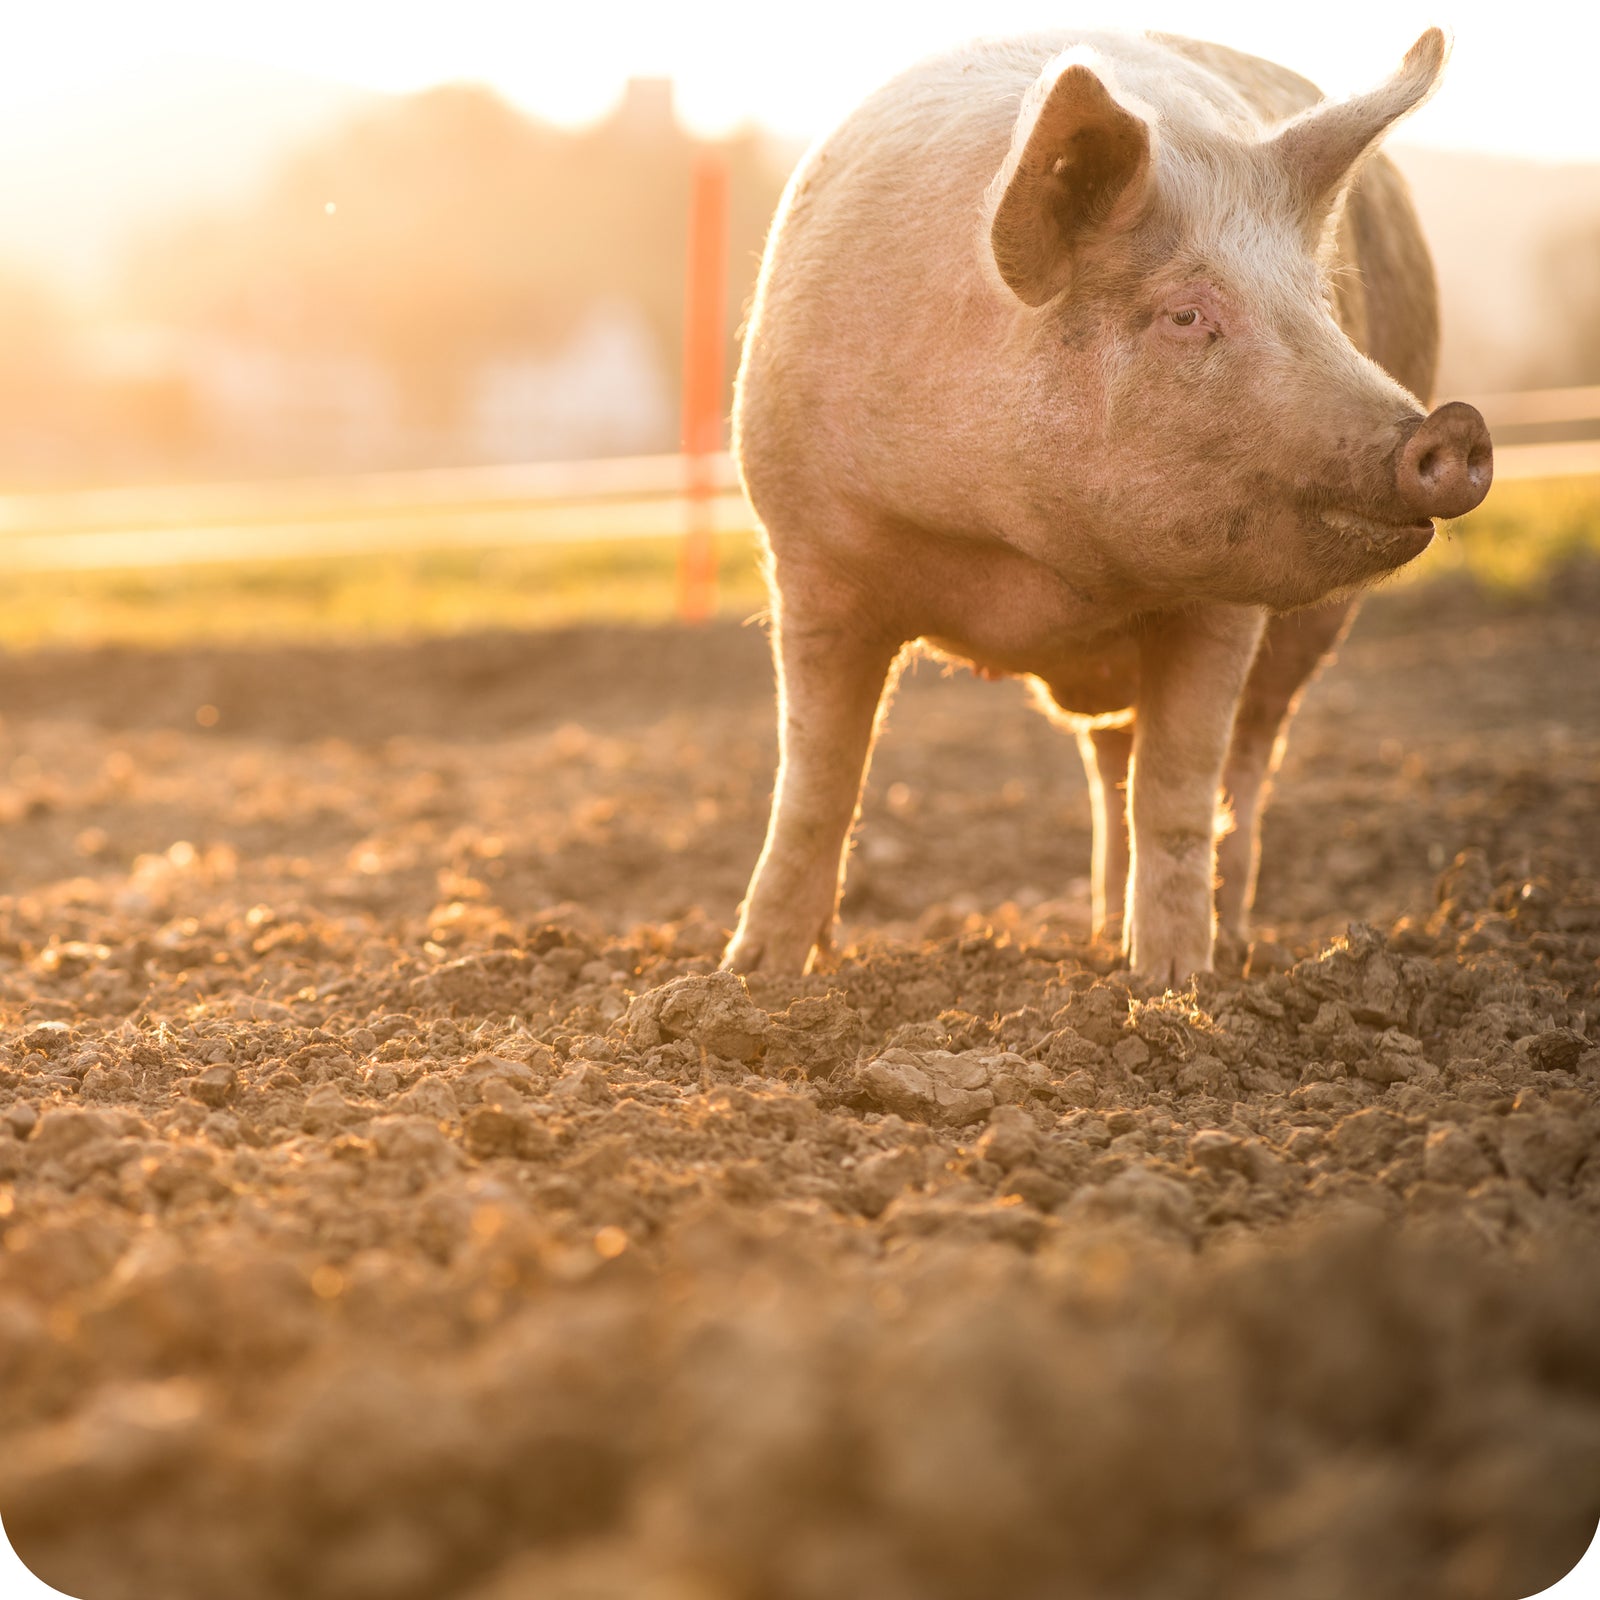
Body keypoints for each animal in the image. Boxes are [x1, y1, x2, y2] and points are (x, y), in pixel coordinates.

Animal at [721, 28, 1492, 985]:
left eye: (1319, 303)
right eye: (1185, 314)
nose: (1453, 428)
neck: (1023, 555)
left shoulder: (1223, 598)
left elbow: (1179, 788)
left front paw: (1173, 987)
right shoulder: (809, 557)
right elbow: (817, 778)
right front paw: (751, 976)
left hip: (1309, 636)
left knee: (1242, 761)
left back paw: (1213, 947)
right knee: (1112, 758)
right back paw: (1095, 939)